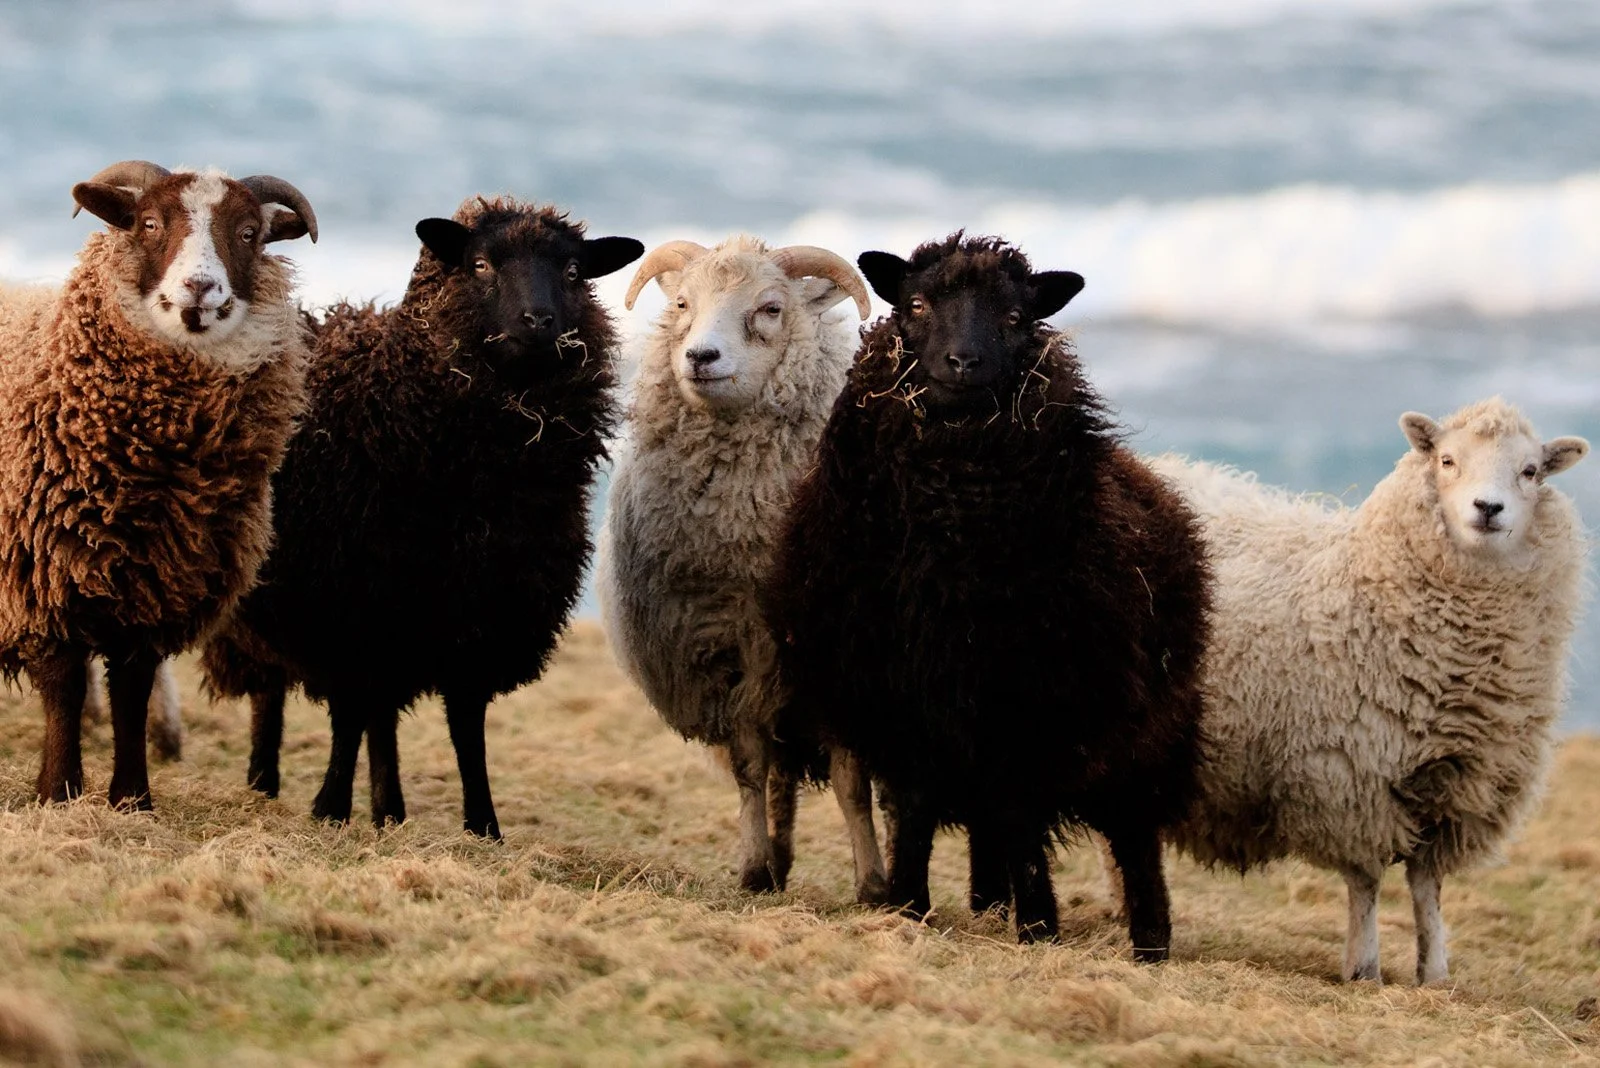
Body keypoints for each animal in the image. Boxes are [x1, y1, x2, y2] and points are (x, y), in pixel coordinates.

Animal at [0, 160, 316, 810]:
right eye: (148, 223)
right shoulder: (39, 573)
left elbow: (132, 687)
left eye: (249, 232)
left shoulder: (156, 581)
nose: (200, 289)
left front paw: (132, 798)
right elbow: (63, 685)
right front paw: (58, 791)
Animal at [202, 196, 642, 839]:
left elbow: (466, 726)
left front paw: (484, 825)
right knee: (272, 691)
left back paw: (389, 810)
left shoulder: (482, 612)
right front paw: (330, 808)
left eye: (573, 272)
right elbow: (348, 714)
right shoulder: (347, 604)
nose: (539, 321)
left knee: (381, 713)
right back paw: (265, 784)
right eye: (480, 264)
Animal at [595, 235, 890, 901]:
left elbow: (851, 781)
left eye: (771, 308)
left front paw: (874, 887)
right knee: (779, 776)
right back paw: (777, 860)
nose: (701, 355)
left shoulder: (836, 665)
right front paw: (754, 871)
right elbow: (751, 768)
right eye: (682, 302)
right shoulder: (730, 653)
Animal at [762, 233, 1212, 954]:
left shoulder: (1025, 700)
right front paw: (907, 904)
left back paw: (1148, 940)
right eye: (917, 304)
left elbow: (1020, 811)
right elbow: (916, 808)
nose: (963, 362)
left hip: (1145, 728)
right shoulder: (899, 694)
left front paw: (1039, 926)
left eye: (1015, 317)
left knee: (1132, 832)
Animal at [1115, 398, 1588, 984]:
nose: (1488, 508)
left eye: (1530, 471)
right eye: (1447, 460)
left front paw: (1435, 974)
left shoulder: (1456, 792)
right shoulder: (1349, 780)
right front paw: (1364, 967)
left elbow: (1427, 887)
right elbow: (1365, 882)